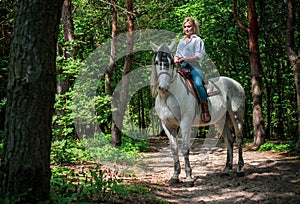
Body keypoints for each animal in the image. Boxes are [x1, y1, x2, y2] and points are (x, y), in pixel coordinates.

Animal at [151, 42, 245, 186]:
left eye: (171, 63)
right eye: (156, 62)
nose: (163, 87)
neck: (168, 97)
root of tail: (237, 84)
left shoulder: (185, 123)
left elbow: (185, 148)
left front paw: (189, 178)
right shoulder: (168, 126)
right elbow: (174, 149)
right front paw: (175, 176)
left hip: (236, 116)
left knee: (239, 139)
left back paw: (240, 169)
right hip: (221, 121)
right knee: (229, 140)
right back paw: (226, 169)